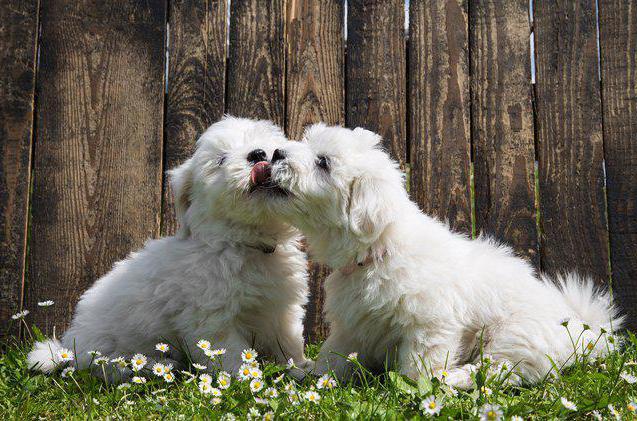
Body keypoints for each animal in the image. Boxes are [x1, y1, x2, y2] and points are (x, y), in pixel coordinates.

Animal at [26, 116, 310, 378]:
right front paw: (244, 380)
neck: (242, 243)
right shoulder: (212, 318)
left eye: (269, 148)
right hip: (106, 348)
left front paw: (301, 369)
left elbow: (289, 340)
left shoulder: (282, 308)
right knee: (113, 366)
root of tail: (69, 348)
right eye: (221, 160)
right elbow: (230, 353)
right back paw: (161, 365)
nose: (259, 154)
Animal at [268, 124, 620, 388]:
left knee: (502, 369)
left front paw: (412, 391)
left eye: (323, 162)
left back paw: (455, 378)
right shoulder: (352, 325)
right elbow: (333, 356)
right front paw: (311, 376)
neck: (379, 249)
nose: (276, 153)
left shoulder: (430, 324)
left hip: (514, 333)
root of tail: (580, 331)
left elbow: (418, 367)